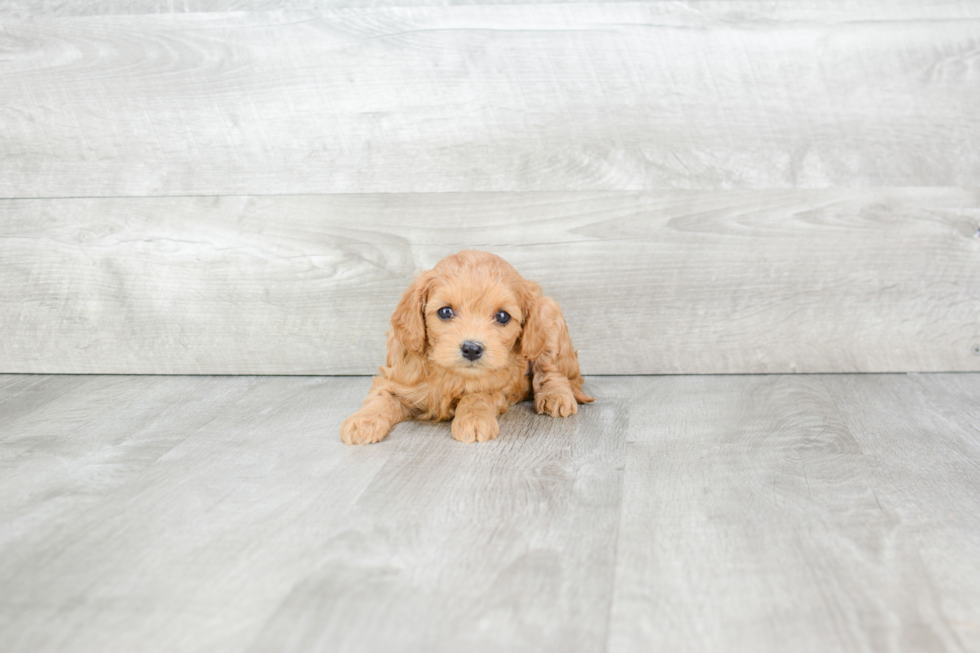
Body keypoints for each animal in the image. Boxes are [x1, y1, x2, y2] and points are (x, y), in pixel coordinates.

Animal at [340, 250, 592, 444]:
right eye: (445, 311)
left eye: (502, 316)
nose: (472, 349)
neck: (450, 373)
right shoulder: (394, 378)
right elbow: (380, 398)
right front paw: (363, 421)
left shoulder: (495, 386)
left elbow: (476, 397)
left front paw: (474, 420)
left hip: (548, 312)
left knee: (554, 371)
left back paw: (555, 396)